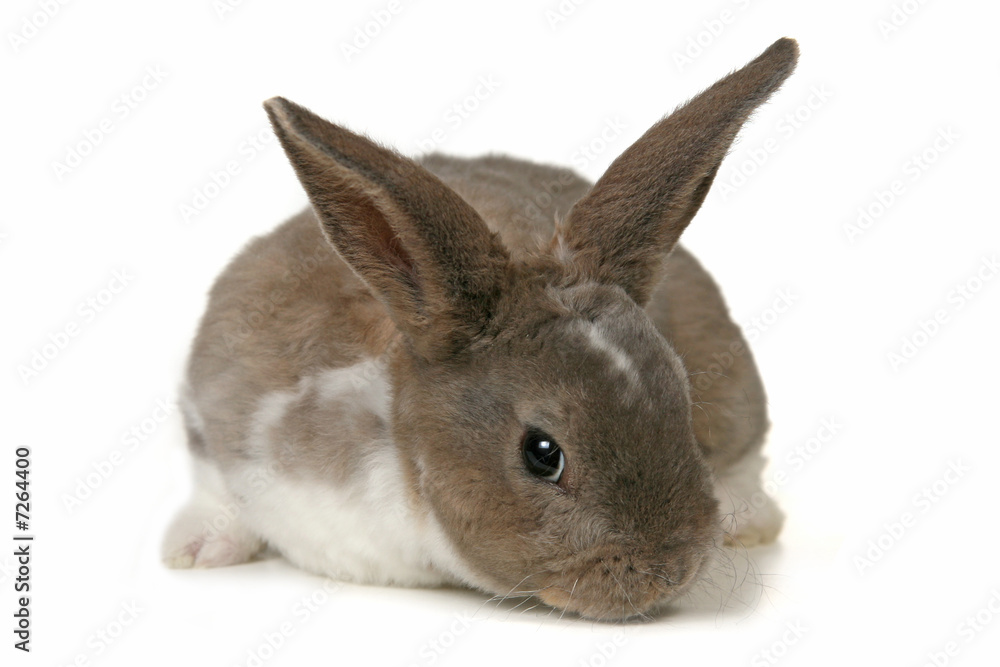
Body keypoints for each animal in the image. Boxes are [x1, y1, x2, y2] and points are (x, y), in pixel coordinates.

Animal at [162, 38, 798, 621]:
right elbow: (211, 483)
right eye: (542, 453)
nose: (671, 570)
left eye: (682, 404)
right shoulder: (216, 403)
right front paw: (193, 551)